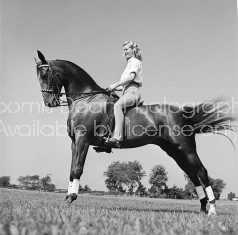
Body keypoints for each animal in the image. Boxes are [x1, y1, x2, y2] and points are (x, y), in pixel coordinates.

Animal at [34, 51, 236, 215]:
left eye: (45, 74)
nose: (49, 102)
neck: (86, 99)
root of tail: (181, 114)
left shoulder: (83, 140)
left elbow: (77, 169)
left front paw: (71, 198)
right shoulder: (75, 142)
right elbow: (71, 170)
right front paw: (67, 197)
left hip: (186, 149)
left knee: (201, 172)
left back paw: (212, 209)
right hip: (174, 151)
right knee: (193, 175)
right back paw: (202, 207)